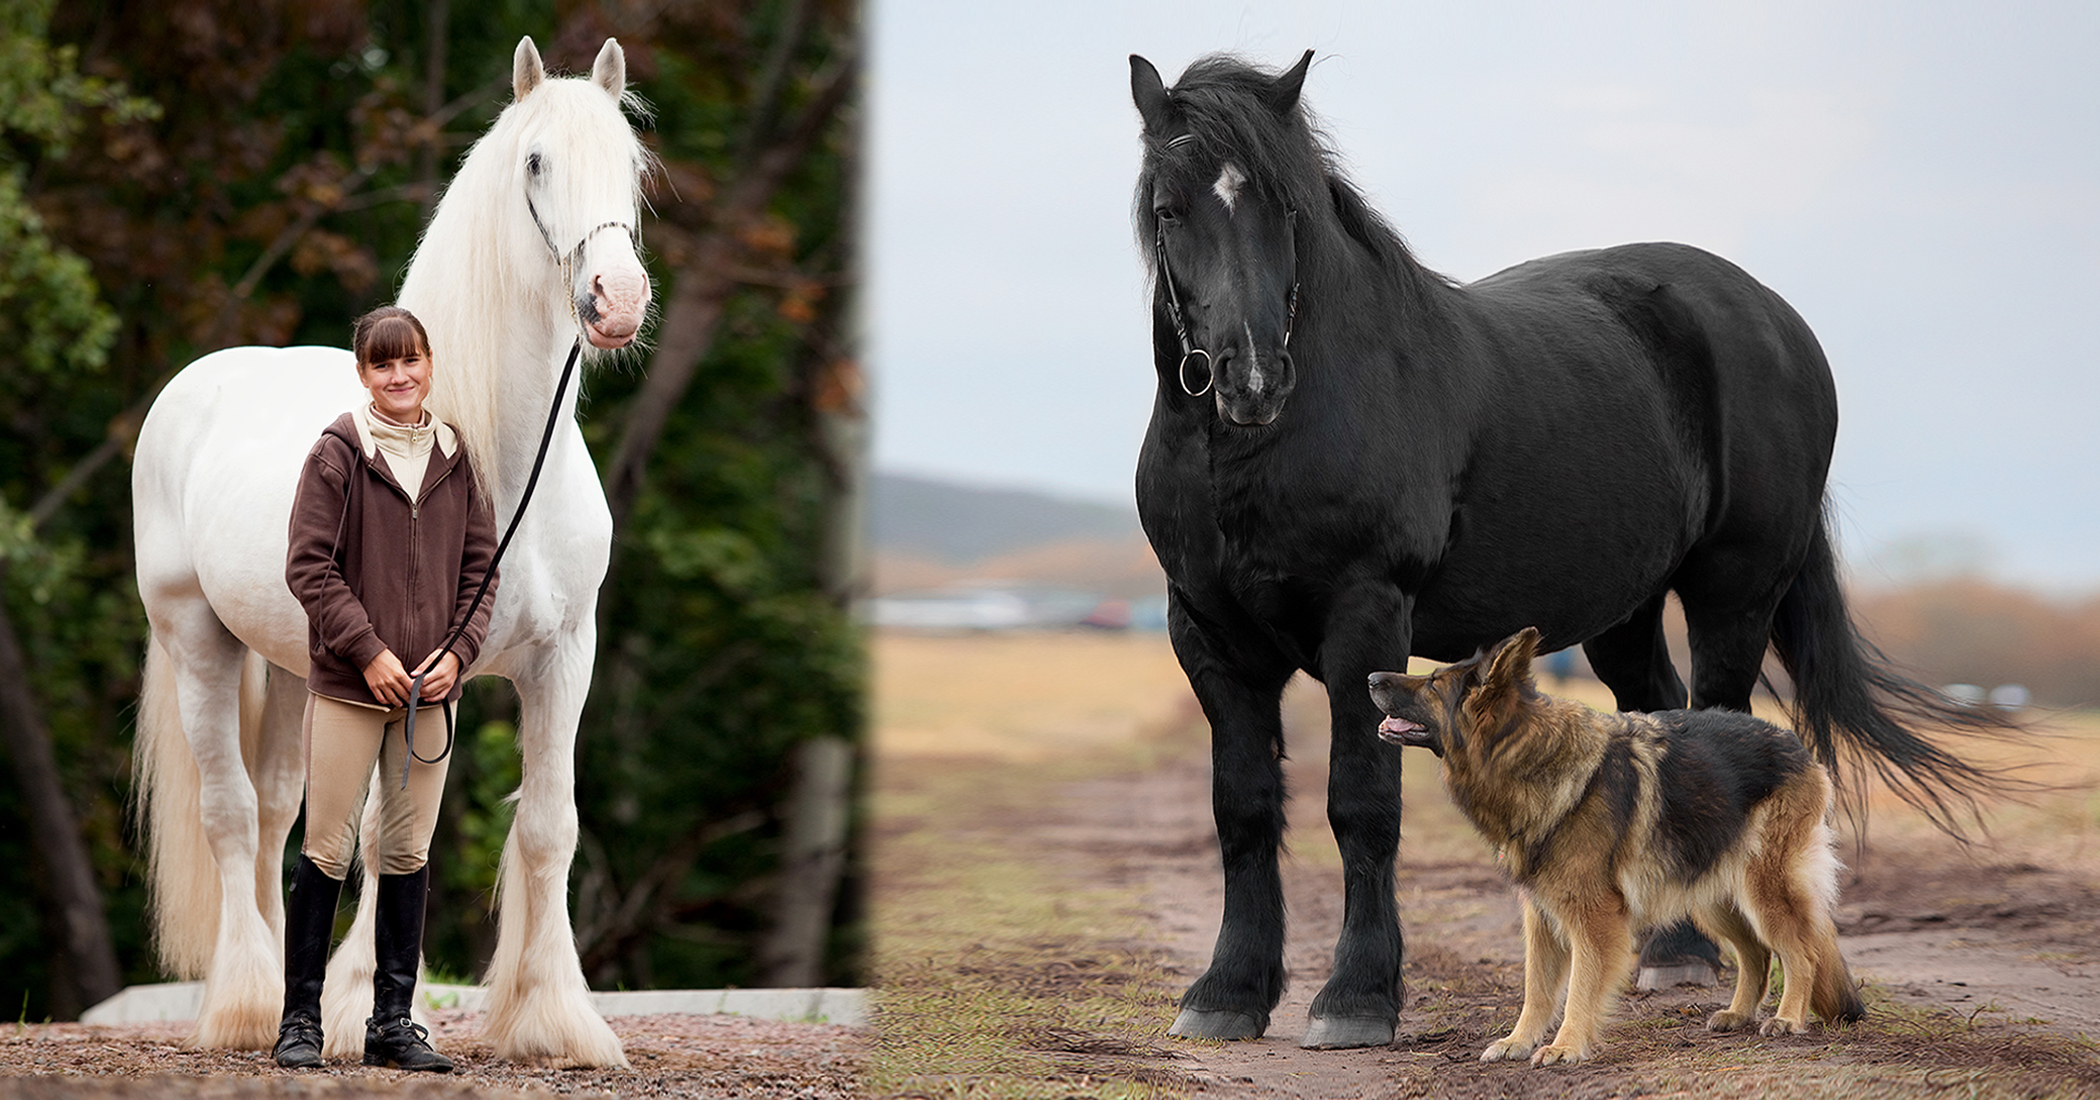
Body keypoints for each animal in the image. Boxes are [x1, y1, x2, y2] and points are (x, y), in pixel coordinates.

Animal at [132, 36, 646, 1066]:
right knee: (232, 812)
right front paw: (353, 1006)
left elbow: (548, 827)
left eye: (632, 165)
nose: (617, 300)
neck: (498, 461)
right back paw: (246, 1002)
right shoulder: (403, 672)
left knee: (280, 812)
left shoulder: (563, 658)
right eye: (537, 162)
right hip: (196, 639)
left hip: (297, 672)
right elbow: (379, 829)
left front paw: (554, 1020)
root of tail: (192, 387)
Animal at [1369, 625, 1864, 1066]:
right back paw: (1739, 1013)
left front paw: (1567, 1046)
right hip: (1714, 897)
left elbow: (1580, 987)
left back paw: (1788, 1018)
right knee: (1757, 953)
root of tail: (1796, 744)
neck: (1529, 755)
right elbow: (1537, 989)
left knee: (1801, 951)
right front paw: (1518, 1041)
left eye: (1433, 682)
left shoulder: (1594, 918)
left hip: (1762, 890)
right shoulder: (1541, 916)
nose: (1371, 677)